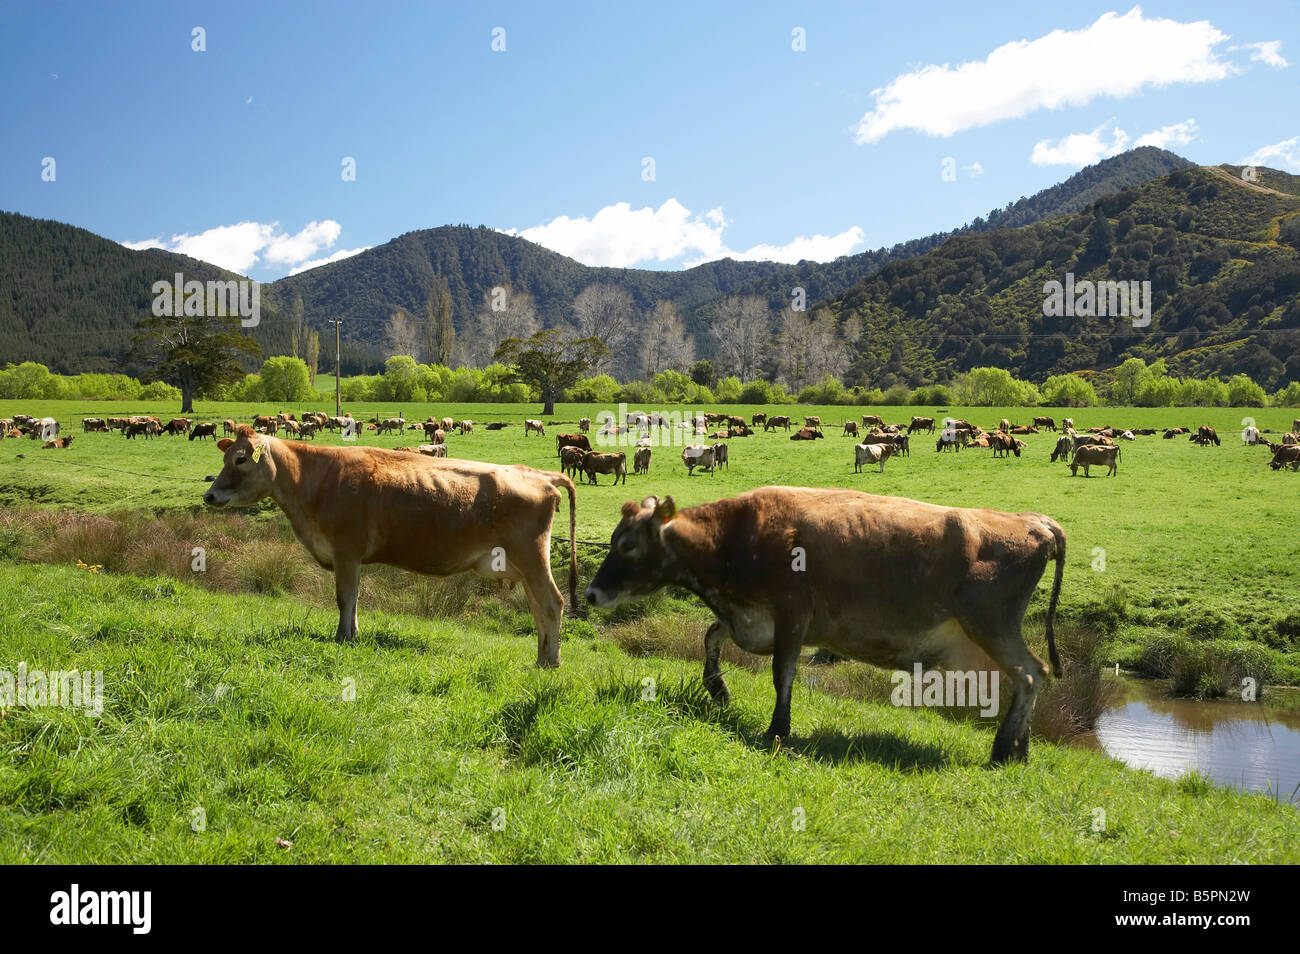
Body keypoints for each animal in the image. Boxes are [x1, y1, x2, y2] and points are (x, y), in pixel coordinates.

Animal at [204, 426, 576, 664]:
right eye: (225, 458)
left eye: (240, 459)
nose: (209, 495)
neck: (315, 481)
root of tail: (539, 474)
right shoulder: (350, 557)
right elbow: (355, 599)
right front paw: (352, 635)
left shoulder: (346, 552)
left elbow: (344, 598)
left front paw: (342, 637)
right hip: (524, 566)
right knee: (537, 607)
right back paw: (542, 655)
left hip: (532, 558)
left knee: (552, 603)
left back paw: (550, 662)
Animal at [584, 489, 1065, 763]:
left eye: (627, 545)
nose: (589, 594)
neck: (736, 538)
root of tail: (1033, 520)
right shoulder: (751, 617)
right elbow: (711, 634)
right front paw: (718, 689)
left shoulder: (792, 613)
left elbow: (783, 674)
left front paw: (778, 730)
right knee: (1030, 676)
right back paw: (1020, 749)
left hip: (992, 625)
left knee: (1030, 673)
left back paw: (1004, 749)